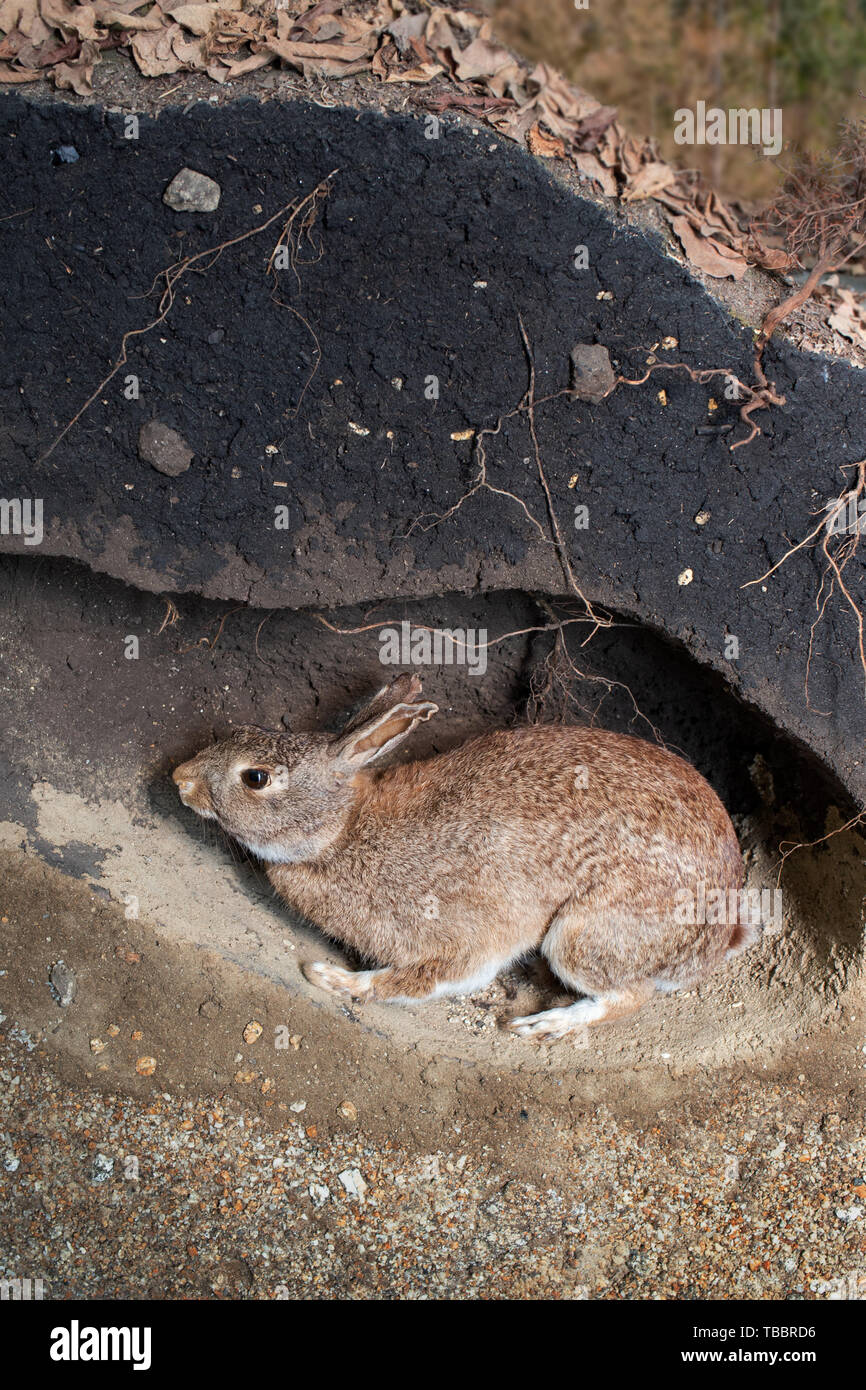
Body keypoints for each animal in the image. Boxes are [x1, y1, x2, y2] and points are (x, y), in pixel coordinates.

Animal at [172, 673, 752, 1041]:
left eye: (255, 777)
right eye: (241, 732)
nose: (180, 779)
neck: (340, 833)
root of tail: (716, 938)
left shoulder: (463, 938)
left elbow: (419, 980)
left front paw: (333, 979)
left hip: (583, 935)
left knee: (628, 996)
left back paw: (544, 1025)